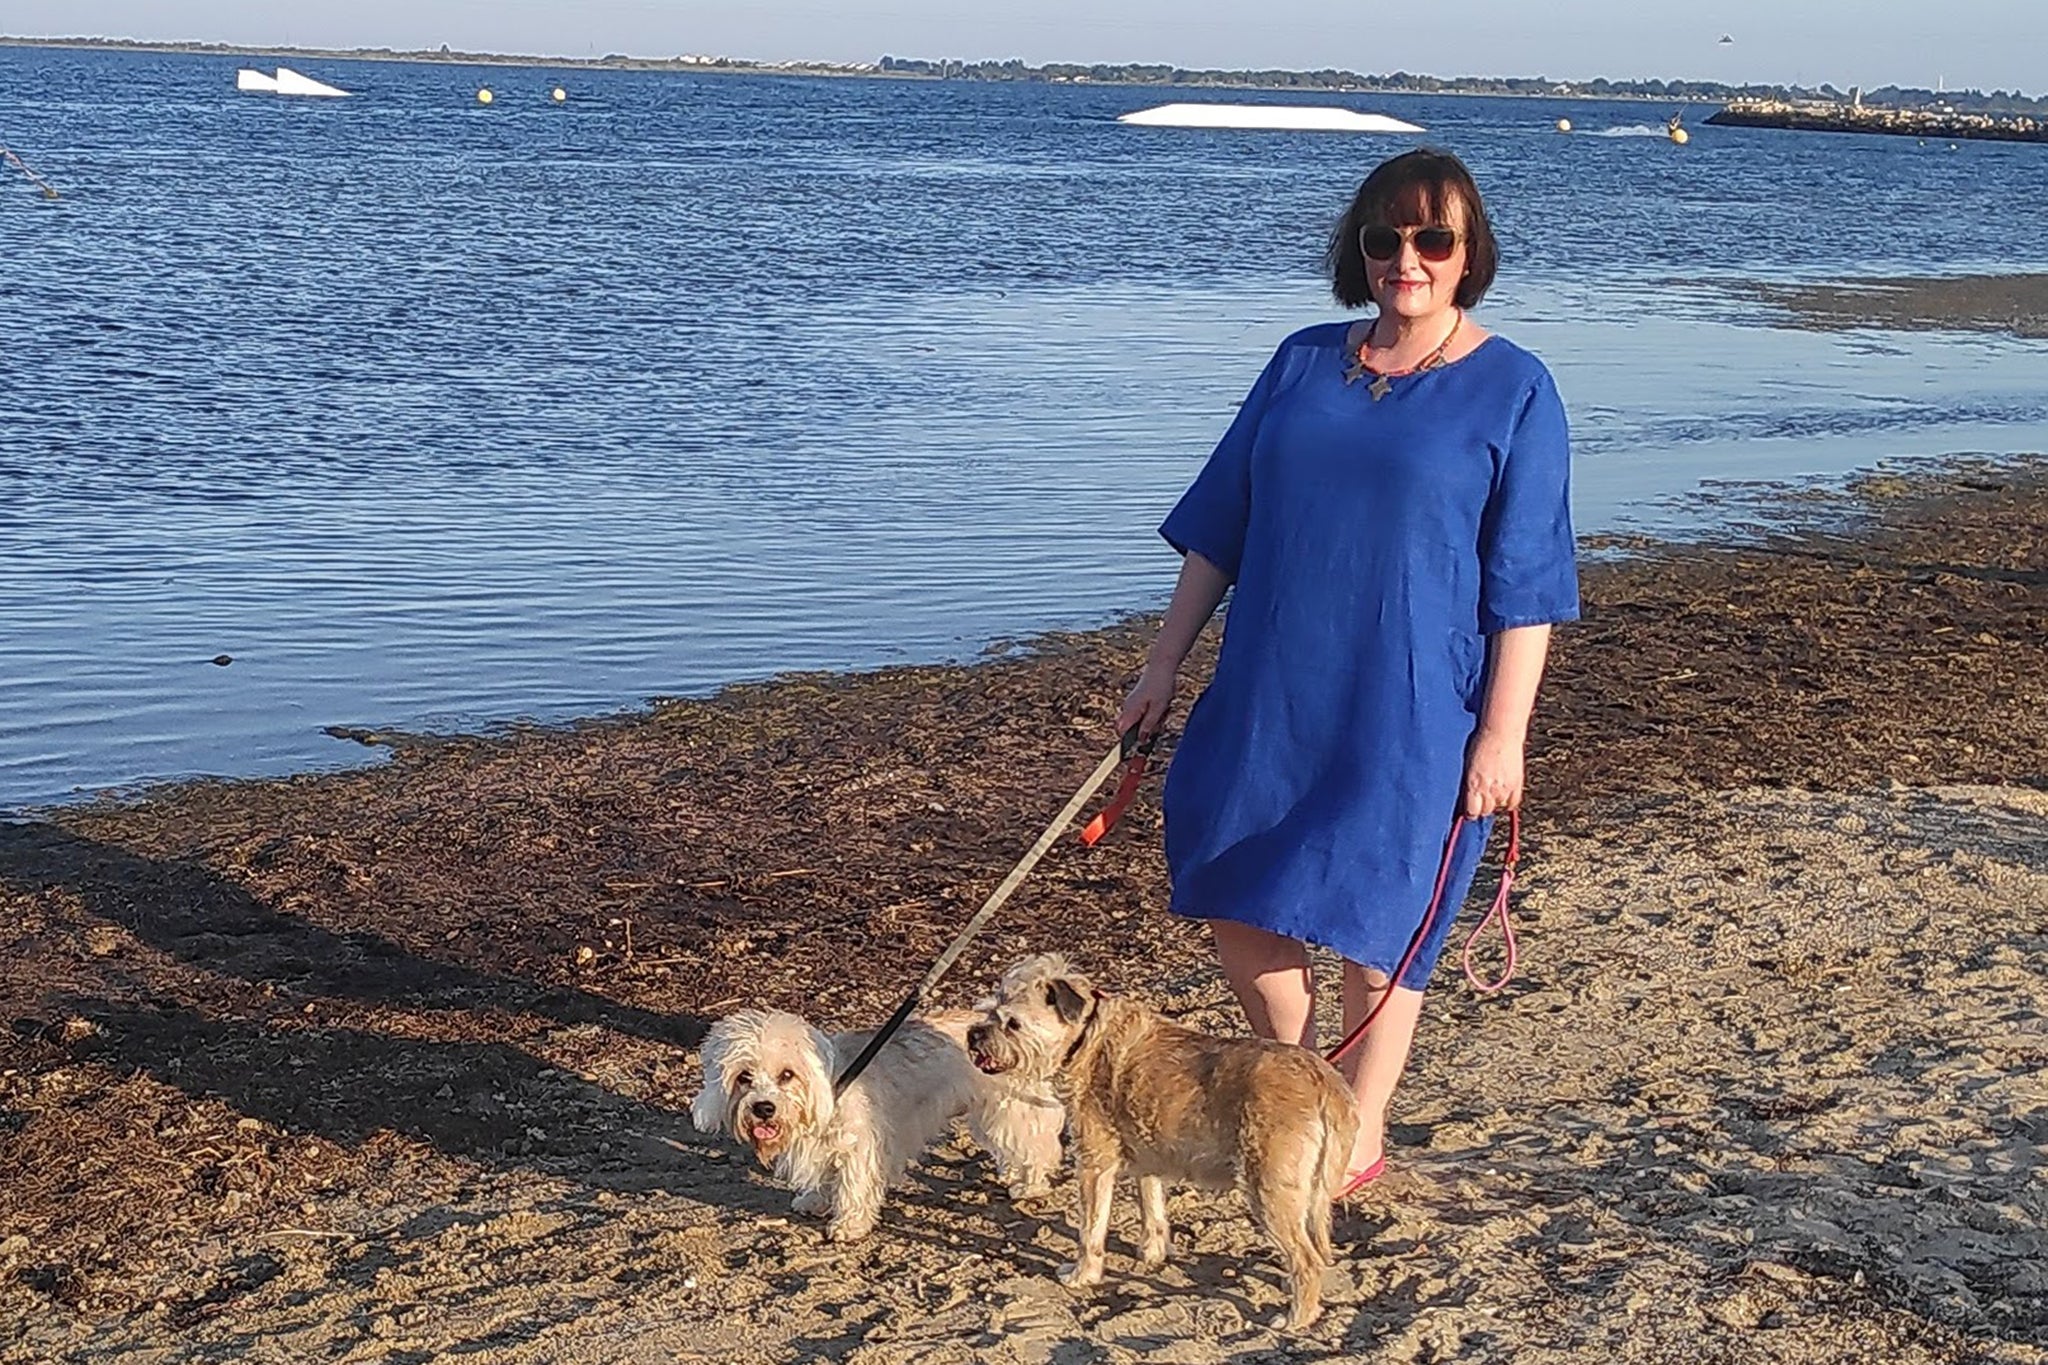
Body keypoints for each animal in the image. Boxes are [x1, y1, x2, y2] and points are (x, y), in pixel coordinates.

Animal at [692, 1002, 1064, 1236]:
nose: (763, 1107)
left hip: (1010, 1111)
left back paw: (1030, 1184)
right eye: (744, 1077)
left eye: (787, 1075)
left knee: (1039, 1144)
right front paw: (814, 1200)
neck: (833, 1087)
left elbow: (853, 1186)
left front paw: (849, 1225)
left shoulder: (860, 1147)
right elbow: (822, 1178)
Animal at [962, 957, 1351, 1326]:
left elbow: (1091, 1229)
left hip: (1269, 1189)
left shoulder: (1094, 1162)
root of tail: (1325, 1084)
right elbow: (1152, 1207)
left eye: (1012, 1023)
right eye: (991, 1010)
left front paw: (1083, 1274)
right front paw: (1152, 1251)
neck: (1087, 1038)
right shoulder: (1150, 1155)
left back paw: (1297, 1317)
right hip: (1308, 1192)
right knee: (1317, 1247)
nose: (973, 1034)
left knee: (1307, 1260)